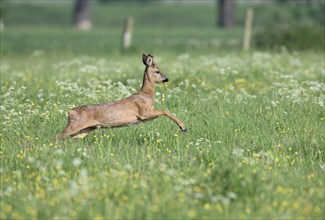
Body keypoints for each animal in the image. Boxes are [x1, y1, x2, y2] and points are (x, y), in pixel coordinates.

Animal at [57, 53, 186, 140]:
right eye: (157, 71)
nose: (166, 79)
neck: (146, 94)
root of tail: (70, 111)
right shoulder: (144, 113)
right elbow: (164, 111)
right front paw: (183, 127)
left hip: (86, 128)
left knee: (72, 139)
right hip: (75, 125)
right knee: (58, 137)